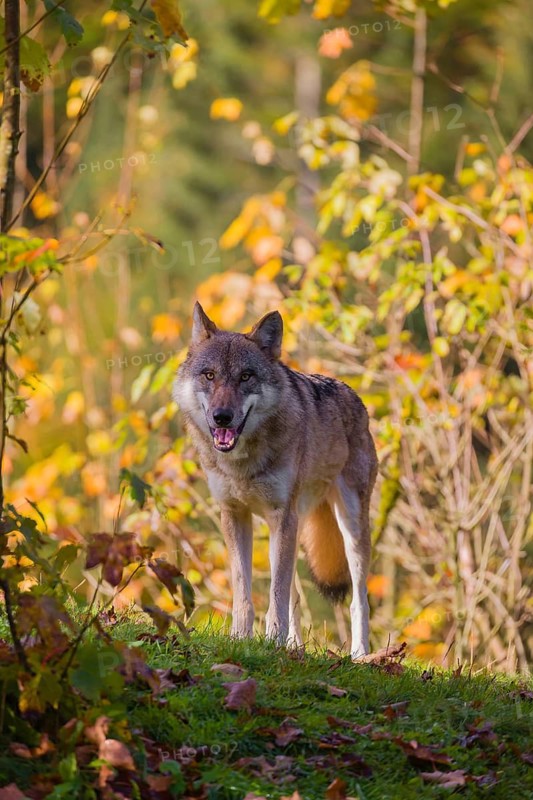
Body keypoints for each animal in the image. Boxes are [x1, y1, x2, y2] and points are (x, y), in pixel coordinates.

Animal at [173, 302, 378, 657]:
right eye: (209, 375)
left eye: (246, 376)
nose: (222, 417)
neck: (242, 463)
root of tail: (354, 396)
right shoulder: (235, 515)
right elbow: (245, 592)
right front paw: (241, 639)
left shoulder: (282, 516)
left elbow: (277, 595)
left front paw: (272, 640)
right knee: (294, 595)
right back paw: (294, 646)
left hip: (348, 525)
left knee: (358, 600)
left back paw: (360, 654)